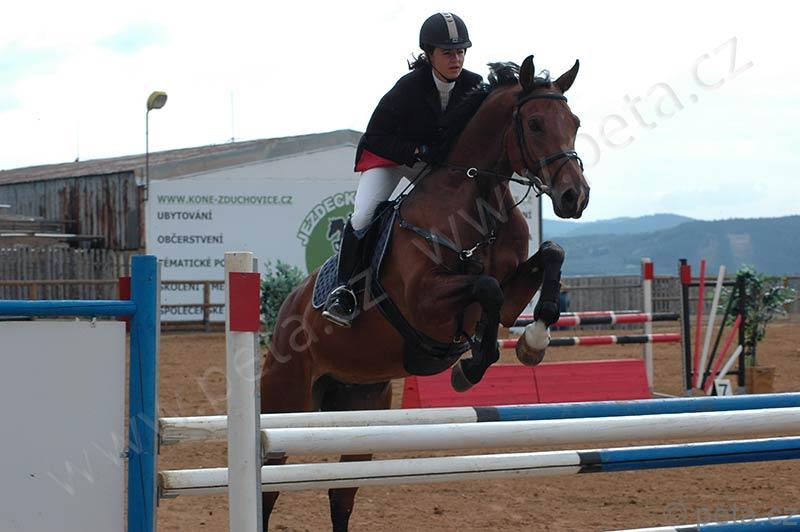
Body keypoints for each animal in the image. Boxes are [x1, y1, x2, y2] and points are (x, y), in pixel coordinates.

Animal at [260, 55, 590, 531]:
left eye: (575, 123)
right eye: (534, 123)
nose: (574, 196)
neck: (477, 201)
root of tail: (290, 308)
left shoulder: (510, 299)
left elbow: (550, 255)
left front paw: (534, 341)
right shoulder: (424, 304)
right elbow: (486, 287)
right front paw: (471, 366)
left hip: (361, 406)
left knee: (341, 493)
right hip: (285, 406)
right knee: (267, 489)